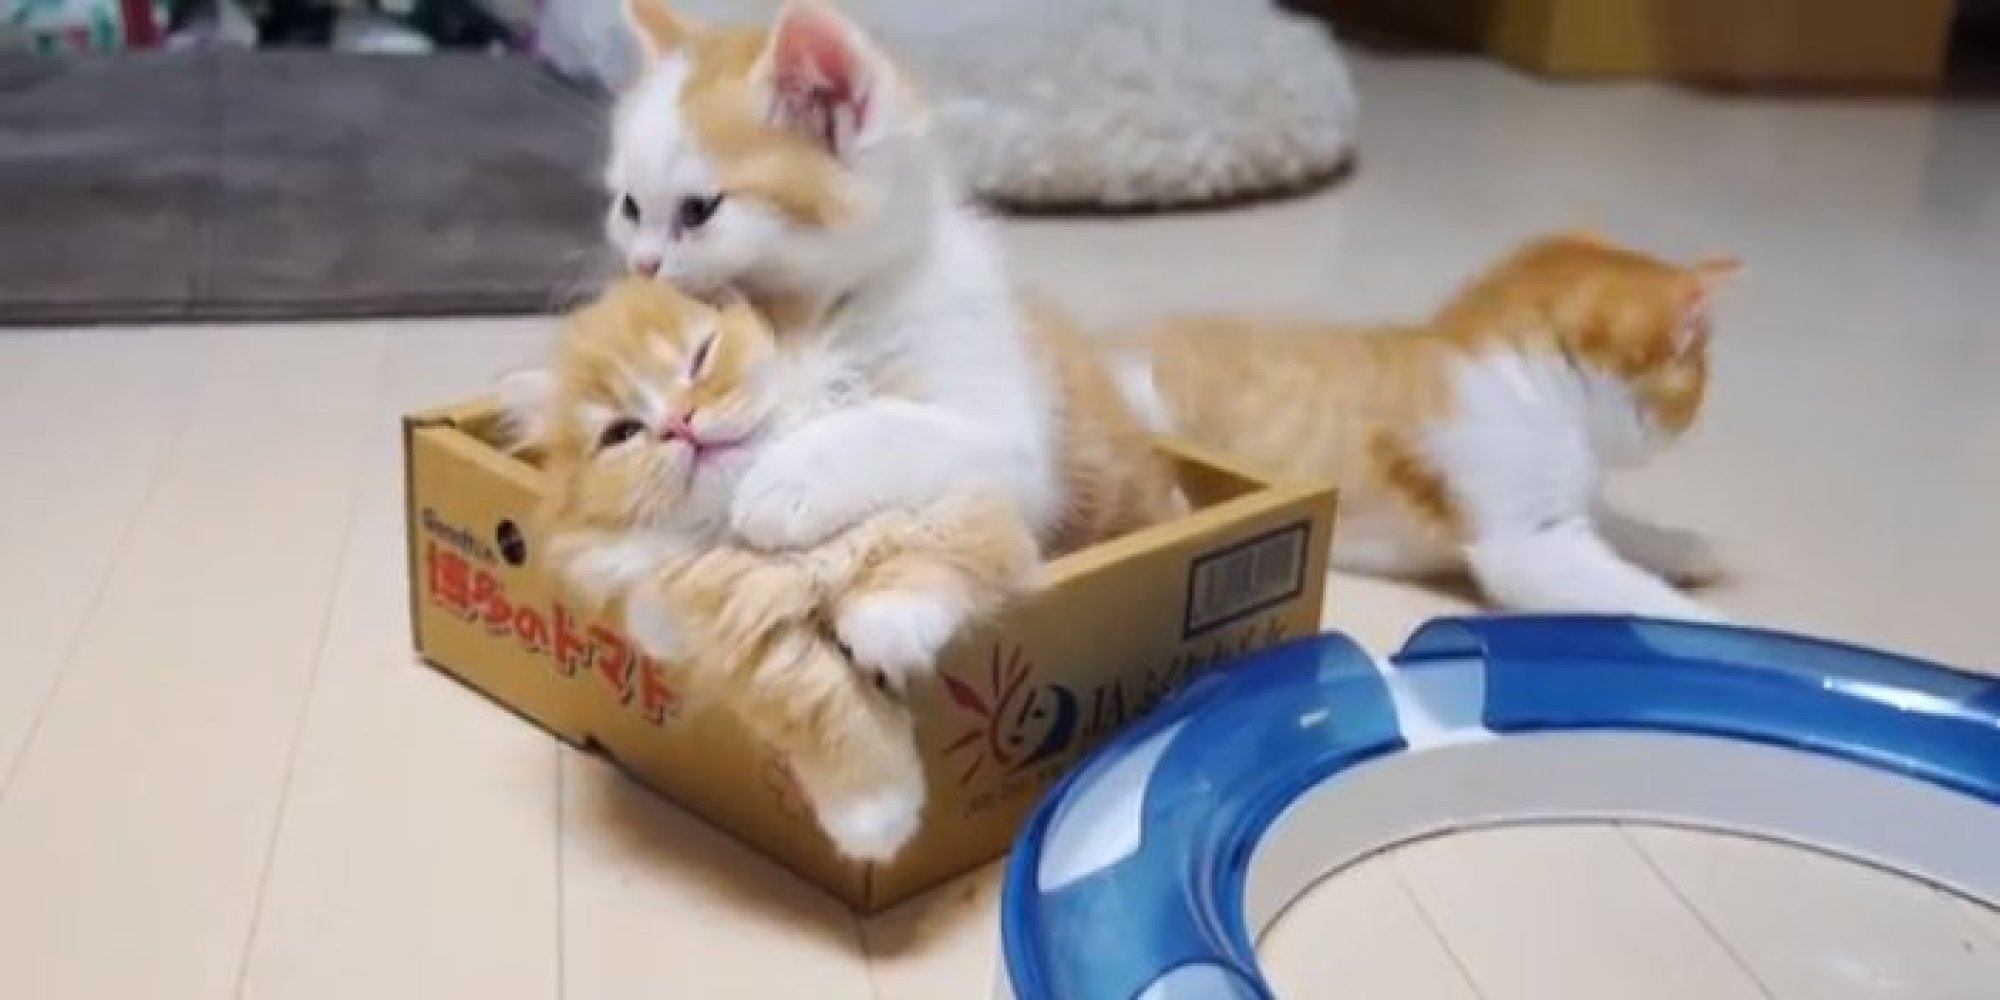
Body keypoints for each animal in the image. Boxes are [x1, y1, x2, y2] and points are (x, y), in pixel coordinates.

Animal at [500, 280, 1040, 860]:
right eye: (622, 433)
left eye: (700, 357)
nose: (678, 424)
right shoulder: (738, 622)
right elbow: (812, 694)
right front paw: (874, 816)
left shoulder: (970, 505)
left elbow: (924, 556)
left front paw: (886, 629)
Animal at [600, 0, 1176, 672]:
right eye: (629, 207)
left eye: (698, 211)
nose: (642, 265)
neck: (834, 310)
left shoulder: (1007, 435)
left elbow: (893, 424)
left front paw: (787, 480)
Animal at [1128, 231, 1736, 620]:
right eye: (1698, 380)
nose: (1691, 422)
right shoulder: (1530, 547)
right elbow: (1645, 600)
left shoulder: (1571, 505)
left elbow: (1623, 529)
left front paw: (1685, 549)